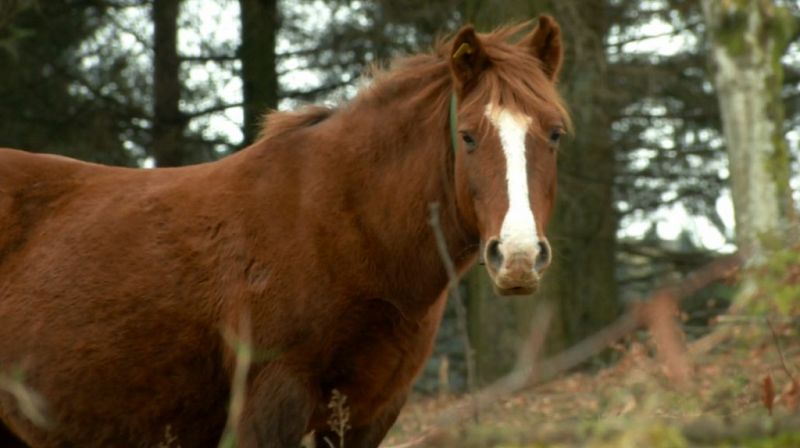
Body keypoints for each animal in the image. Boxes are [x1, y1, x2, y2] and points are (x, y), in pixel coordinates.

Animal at [1, 15, 568, 446]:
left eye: (556, 133)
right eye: (468, 136)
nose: (518, 256)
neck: (344, 227)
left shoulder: (368, 414)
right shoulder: (272, 403)